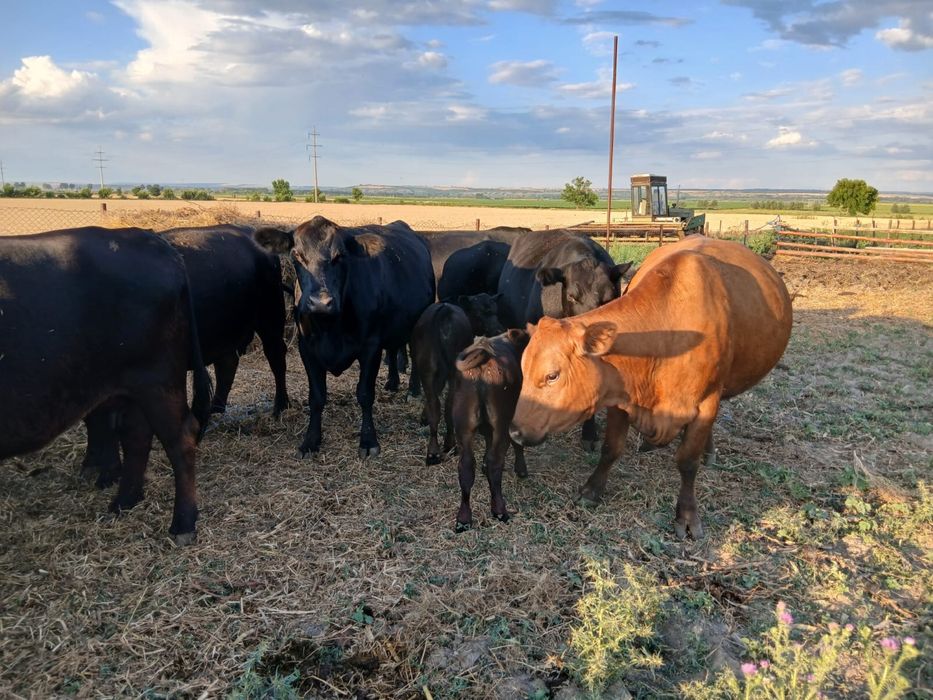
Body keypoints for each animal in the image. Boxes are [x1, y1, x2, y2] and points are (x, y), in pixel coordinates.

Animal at [0, 226, 213, 544]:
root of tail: (149, 238)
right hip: (130, 386)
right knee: (136, 435)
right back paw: (124, 501)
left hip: (157, 379)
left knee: (179, 437)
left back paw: (183, 524)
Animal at [254, 216, 435, 458]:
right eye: (297, 256)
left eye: (339, 256)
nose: (320, 303)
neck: (331, 328)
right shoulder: (307, 348)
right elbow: (317, 397)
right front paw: (310, 441)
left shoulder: (370, 347)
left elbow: (365, 394)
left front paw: (368, 441)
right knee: (393, 349)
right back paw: (392, 382)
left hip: (417, 322)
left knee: (414, 357)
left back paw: (413, 391)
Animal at [411, 297, 506, 465]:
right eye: (480, 313)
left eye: (495, 310)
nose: (499, 330)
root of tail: (443, 310)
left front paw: (424, 416)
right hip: (454, 371)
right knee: (448, 406)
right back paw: (450, 445)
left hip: (427, 368)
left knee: (435, 404)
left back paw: (433, 453)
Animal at [452, 329, 530, 531]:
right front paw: (521, 469)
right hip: (502, 422)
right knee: (496, 461)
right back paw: (500, 510)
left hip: (463, 427)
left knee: (465, 466)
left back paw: (464, 519)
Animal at [509, 236, 793, 539]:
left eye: (552, 375)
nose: (514, 432)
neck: (666, 336)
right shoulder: (620, 397)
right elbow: (611, 448)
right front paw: (592, 490)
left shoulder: (706, 403)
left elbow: (687, 461)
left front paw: (687, 514)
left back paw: (708, 451)